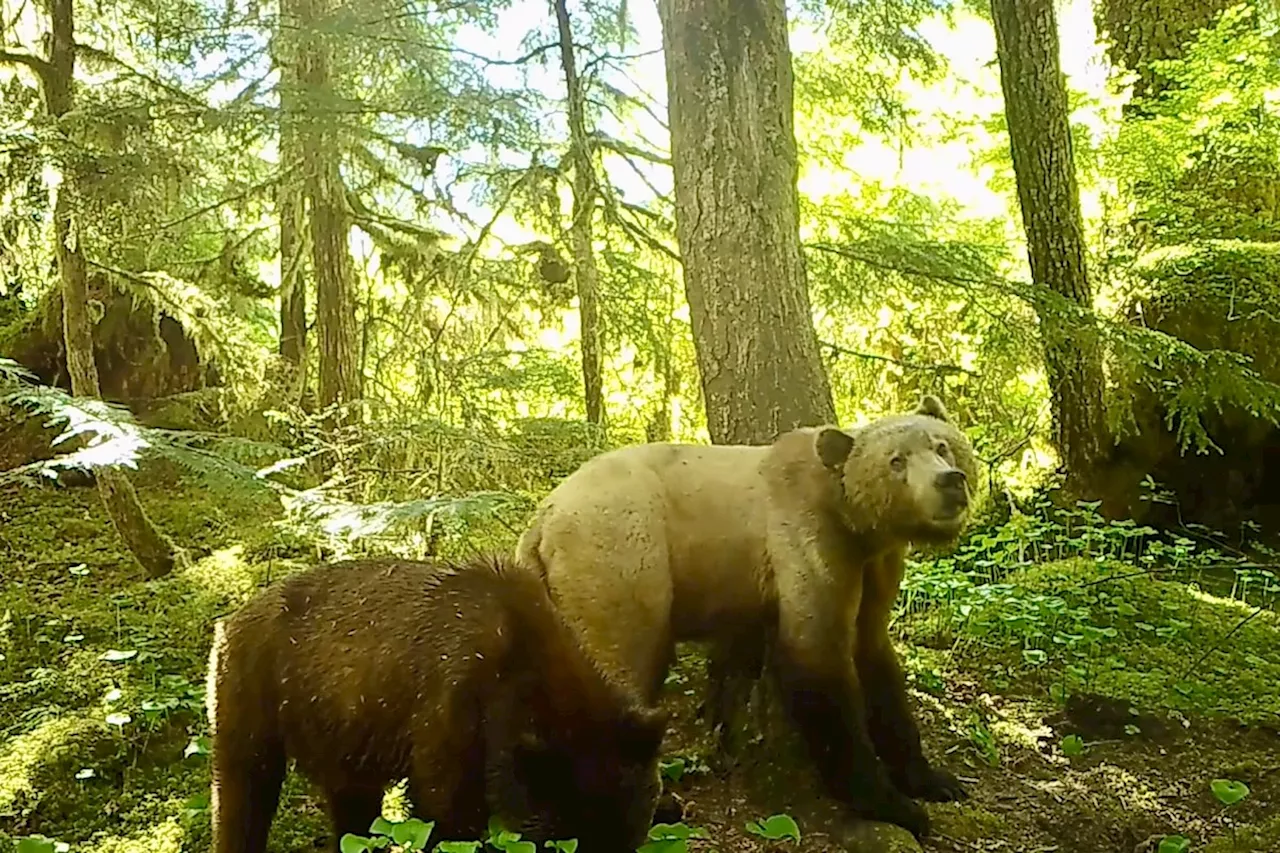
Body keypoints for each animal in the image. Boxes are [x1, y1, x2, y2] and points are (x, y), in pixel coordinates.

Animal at [203, 550, 665, 850]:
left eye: (628, 839)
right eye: (569, 843)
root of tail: (231, 618)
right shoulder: (448, 711)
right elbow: (445, 813)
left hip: (341, 731)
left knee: (352, 810)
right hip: (253, 691)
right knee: (243, 792)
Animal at [514, 394, 972, 835]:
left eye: (942, 445)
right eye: (896, 461)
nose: (950, 481)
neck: (859, 527)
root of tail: (541, 521)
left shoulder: (875, 569)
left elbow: (876, 659)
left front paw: (935, 780)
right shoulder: (808, 543)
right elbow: (818, 661)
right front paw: (894, 805)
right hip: (621, 562)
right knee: (620, 676)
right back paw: (646, 807)